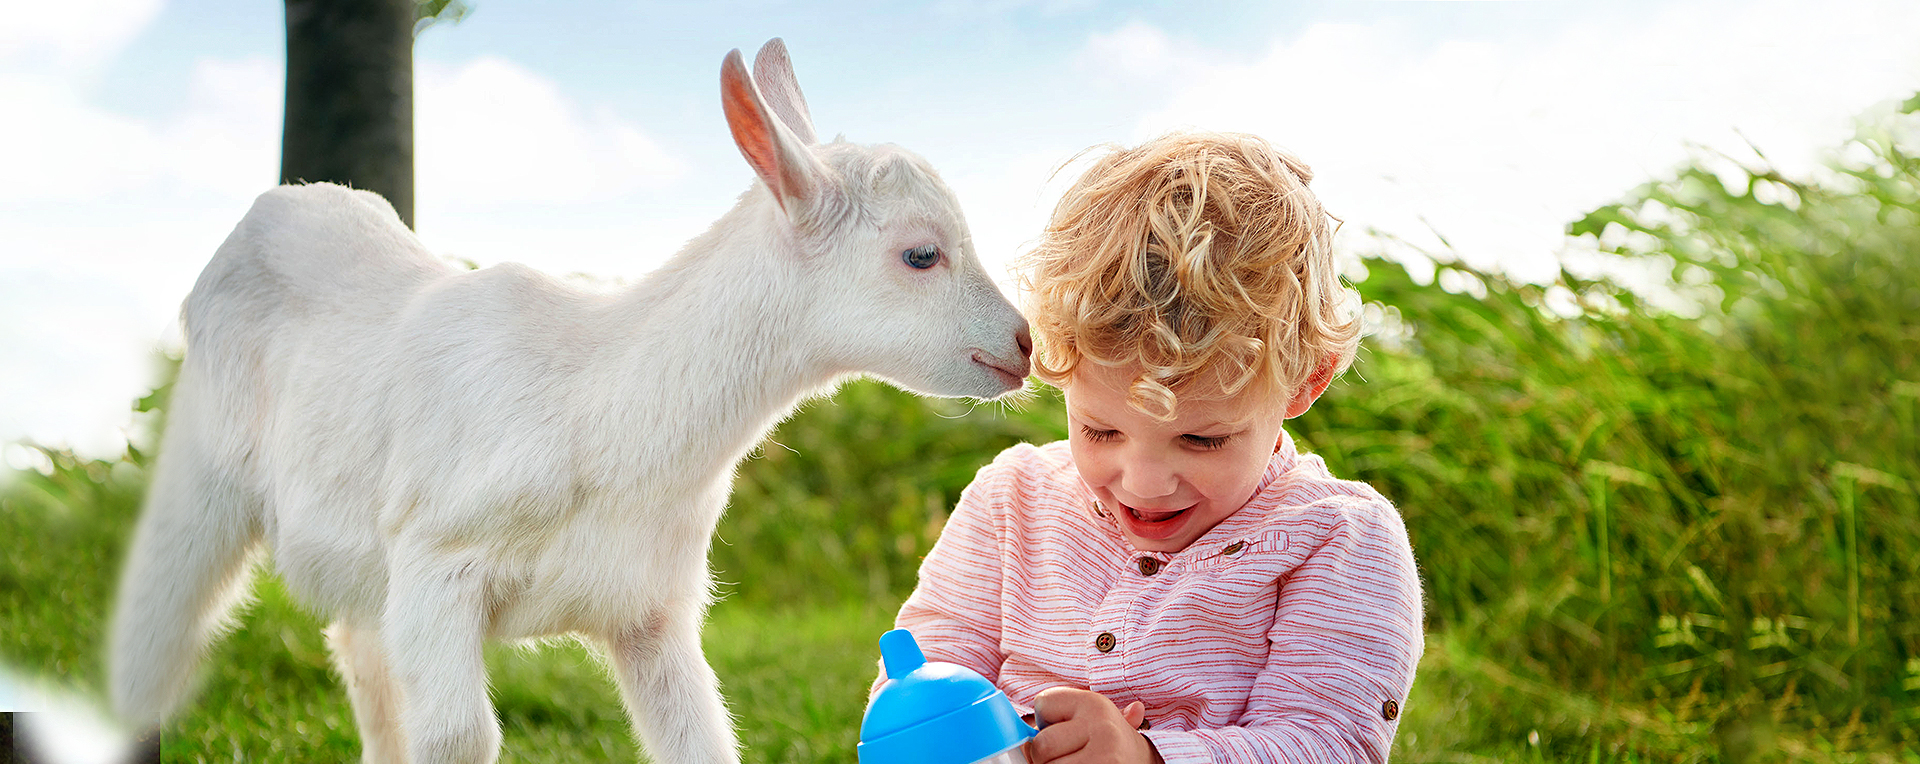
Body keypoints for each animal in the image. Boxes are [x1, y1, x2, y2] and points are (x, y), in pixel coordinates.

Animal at [110, 40, 1029, 764]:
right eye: (921, 255)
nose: (1023, 344)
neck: (603, 410)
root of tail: (281, 200)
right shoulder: (437, 561)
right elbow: (460, 739)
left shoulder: (650, 610)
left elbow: (702, 740)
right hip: (204, 472)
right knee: (152, 639)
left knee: (362, 662)